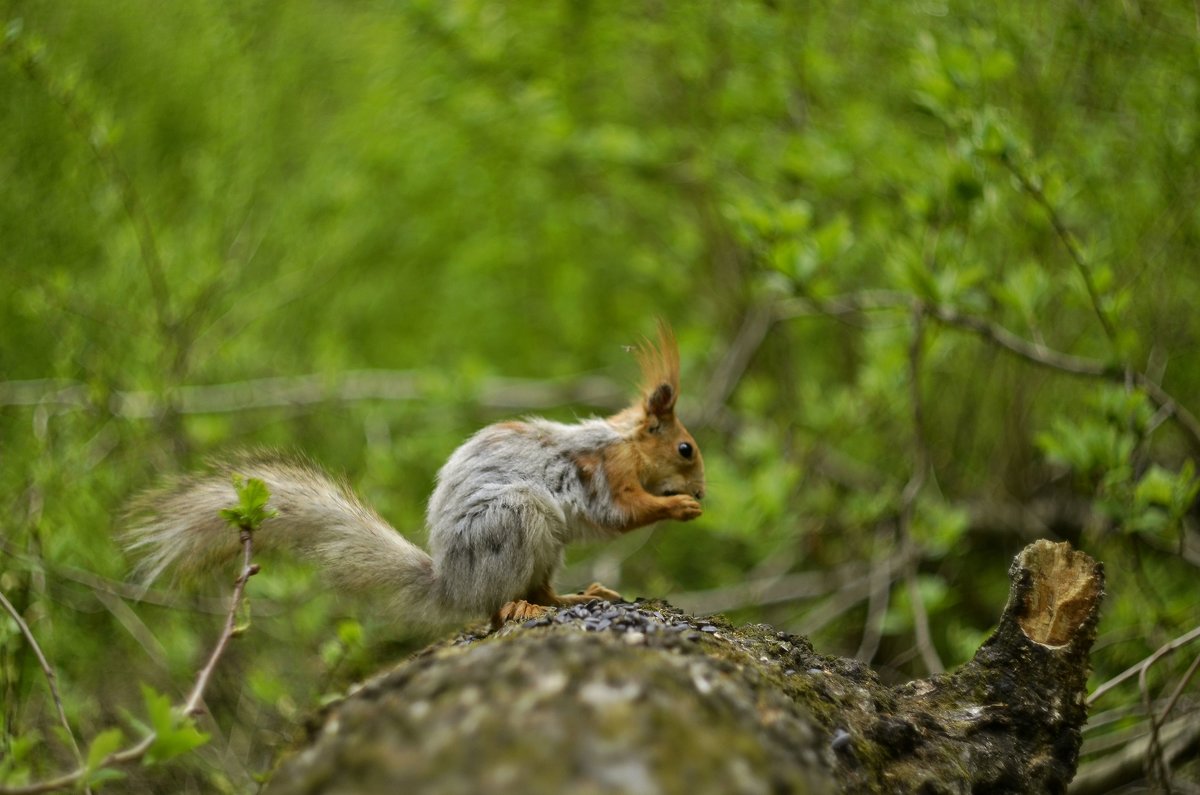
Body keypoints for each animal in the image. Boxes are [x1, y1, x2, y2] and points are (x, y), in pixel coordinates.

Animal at [124, 324, 700, 629]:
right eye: (686, 449)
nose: (701, 490)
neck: (625, 443)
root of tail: (451, 584)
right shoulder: (608, 473)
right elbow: (620, 511)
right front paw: (678, 507)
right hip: (517, 519)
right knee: (498, 604)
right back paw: (519, 605)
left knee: (543, 590)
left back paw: (574, 598)